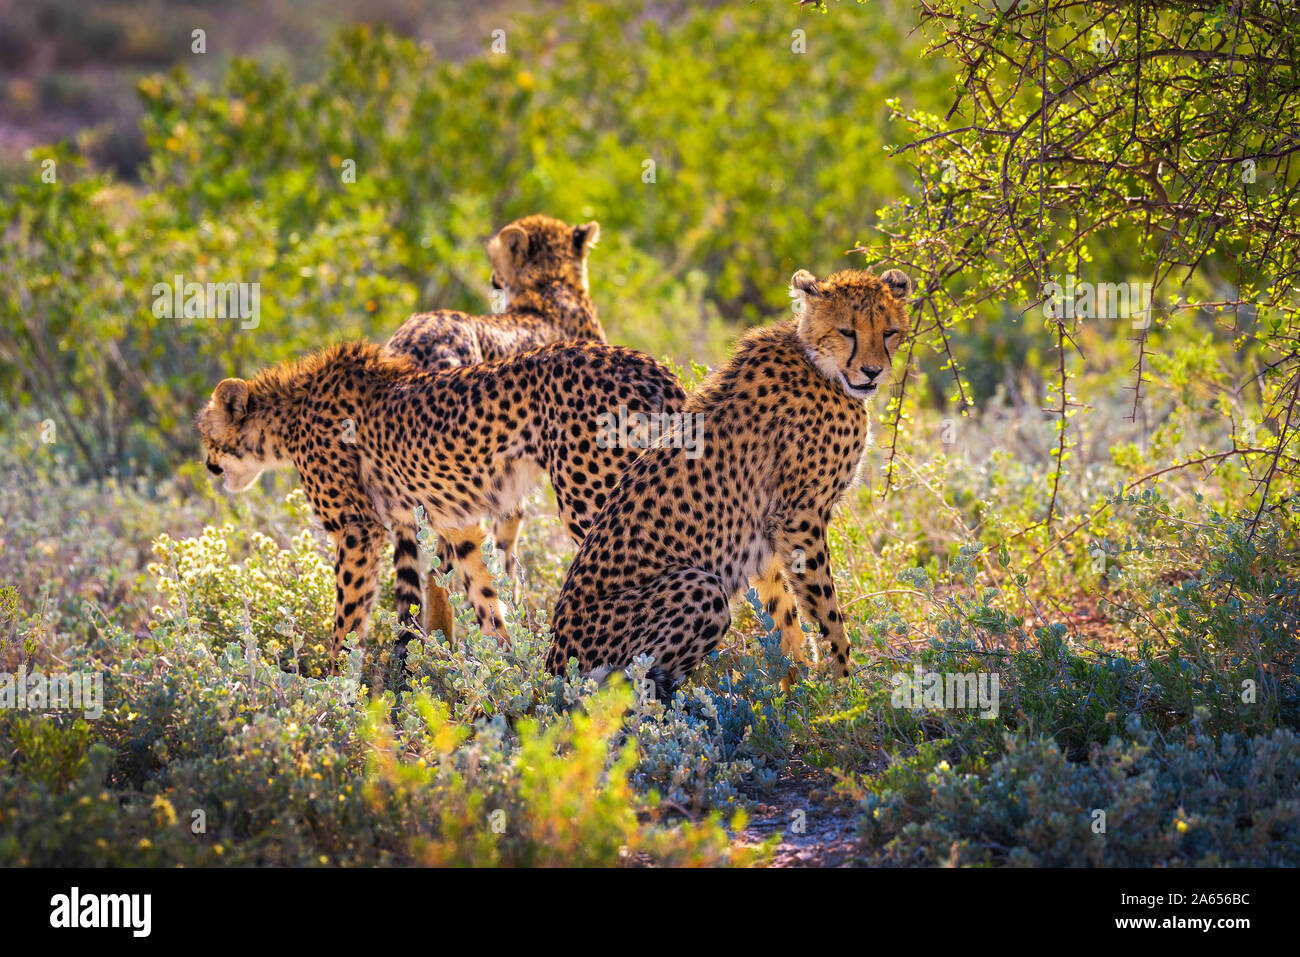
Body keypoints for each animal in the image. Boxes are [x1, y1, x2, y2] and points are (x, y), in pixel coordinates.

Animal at [193, 338, 686, 665]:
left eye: (205, 434)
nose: (208, 466)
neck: (289, 415)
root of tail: (649, 364)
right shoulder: (454, 523)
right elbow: (483, 599)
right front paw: (506, 671)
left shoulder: (358, 529)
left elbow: (348, 617)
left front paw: (329, 684)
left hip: (598, 498)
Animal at [548, 267, 915, 696]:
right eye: (847, 331)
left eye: (889, 331)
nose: (873, 371)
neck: (817, 362)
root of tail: (553, 667)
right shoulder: (799, 517)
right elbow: (826, 608)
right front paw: (846, 685)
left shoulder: (767, 529)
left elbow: (783, 609)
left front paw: (797, 681)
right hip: (701, 587)